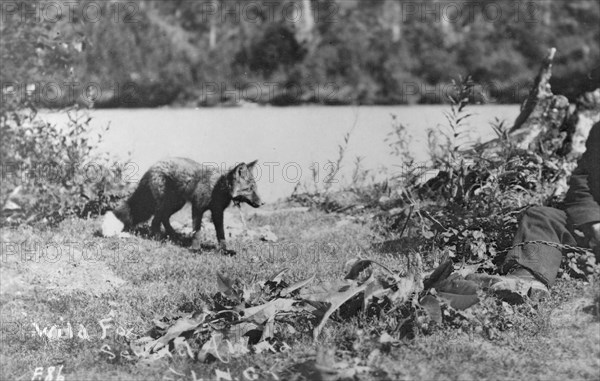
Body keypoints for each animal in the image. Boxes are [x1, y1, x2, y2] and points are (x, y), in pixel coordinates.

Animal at [103, 156, 262, 254]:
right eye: (249, 189)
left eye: (255, 188)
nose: (262, 203)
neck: (217, 187)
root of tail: (153, 166)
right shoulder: (197, 208)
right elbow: (197, 232)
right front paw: (196, 249)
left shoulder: (217, 212)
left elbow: (221, 234)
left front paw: (224, 251)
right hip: (164, 204)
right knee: (155, 221)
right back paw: (158, 238)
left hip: (175, 204)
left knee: (164, 219)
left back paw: (173, 236)